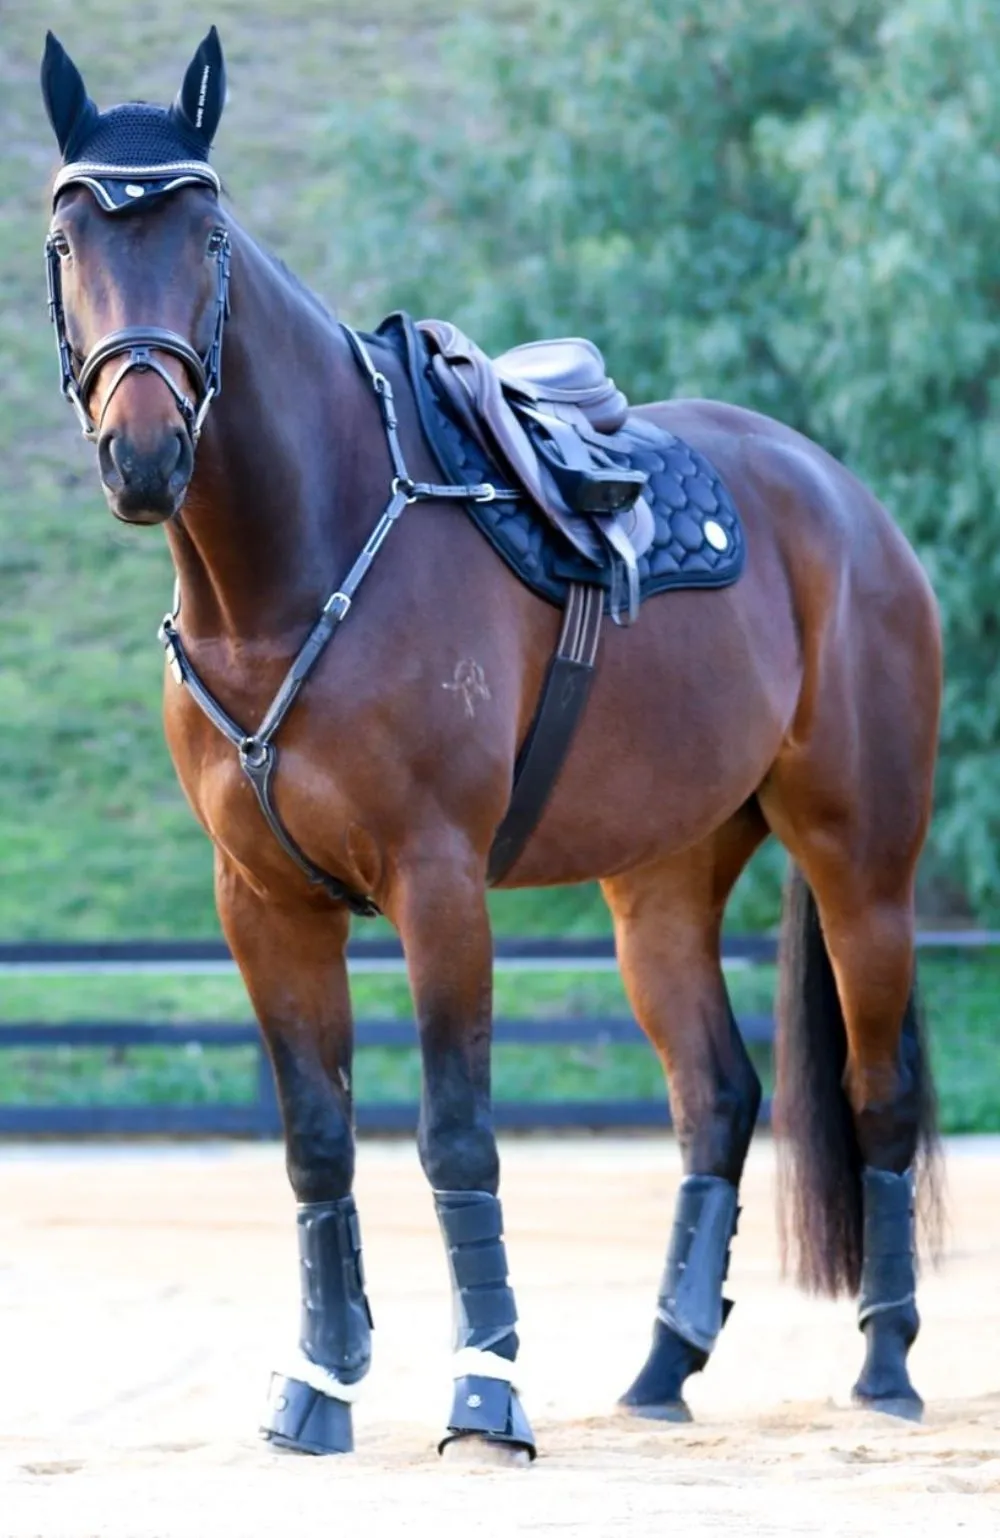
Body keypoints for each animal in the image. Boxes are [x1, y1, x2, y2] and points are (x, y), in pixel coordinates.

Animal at [38, 29, 941, 1458]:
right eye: (67, 236)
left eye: (208, 234)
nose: (144, 450)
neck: (293, 567)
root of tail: (849, 507)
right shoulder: (263, 901)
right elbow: (317, 1143)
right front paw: (319, 1387)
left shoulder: (438, 881)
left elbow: (457, 1135)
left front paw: (486, 1392)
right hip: (660, 881)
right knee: (717, 1097)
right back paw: (660, 1367)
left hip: (864, 862)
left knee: (876, 1094)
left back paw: (889, 1364)